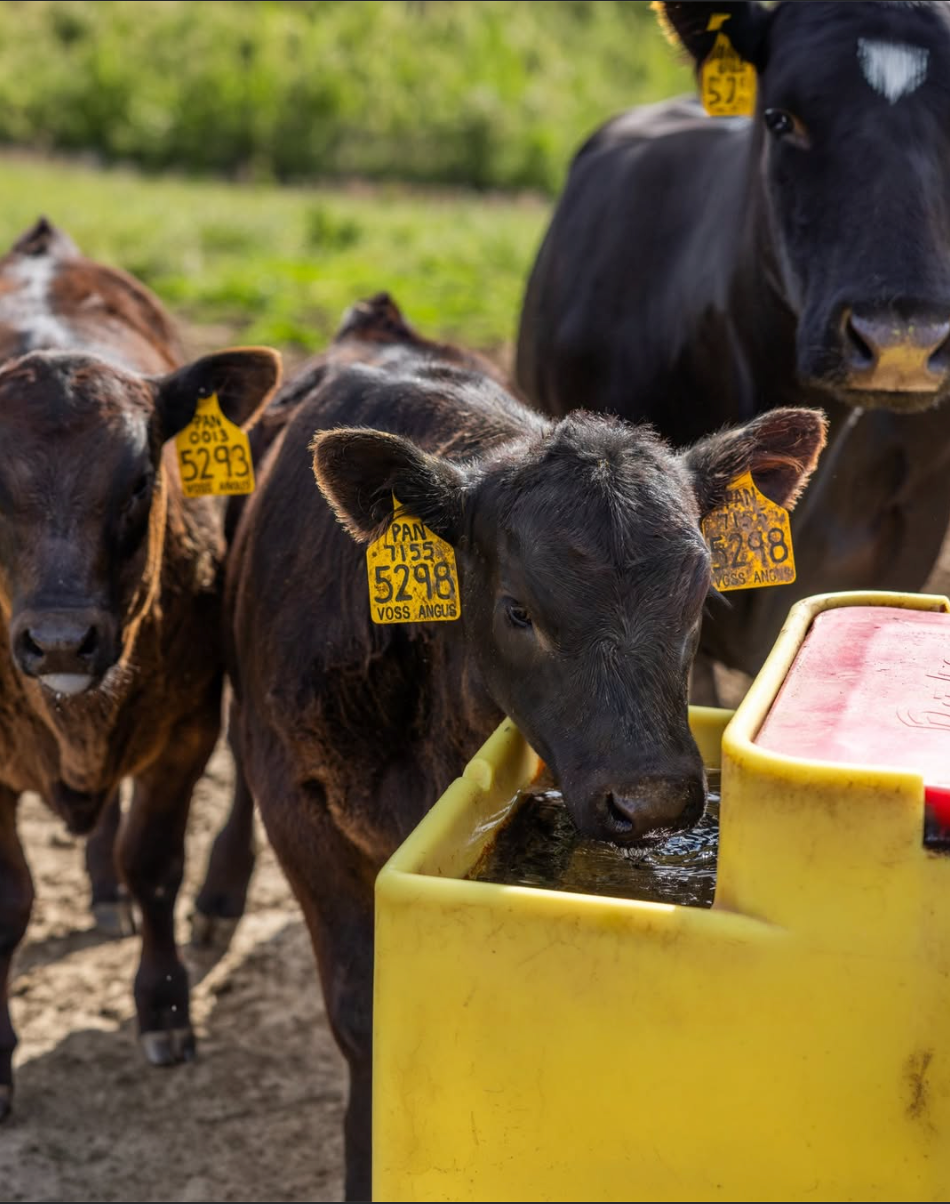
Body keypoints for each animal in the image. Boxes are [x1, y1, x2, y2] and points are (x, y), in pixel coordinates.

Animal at [0, 217, 281, 1119]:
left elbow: (155, 866)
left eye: (139, 481)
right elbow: (8, 899)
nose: (60, 642)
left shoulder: (184, 731)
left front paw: (163, 1007)